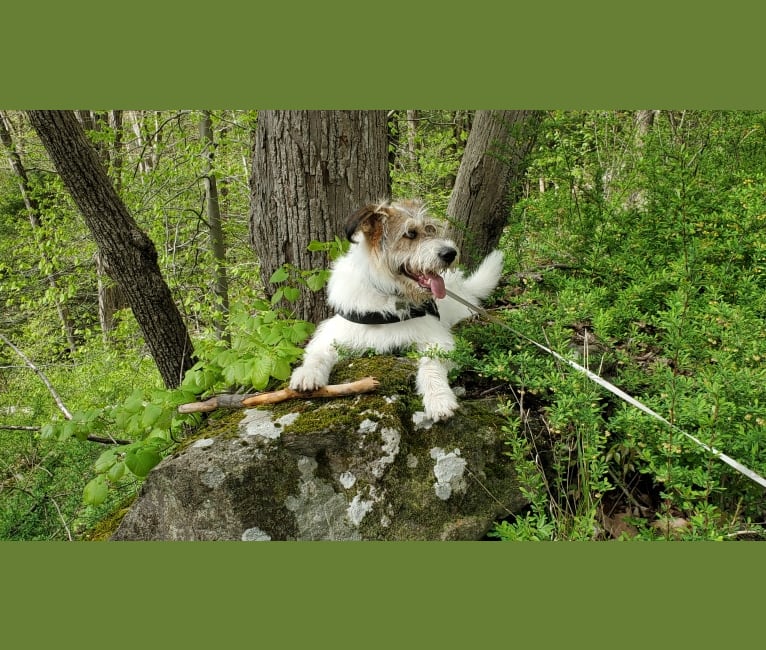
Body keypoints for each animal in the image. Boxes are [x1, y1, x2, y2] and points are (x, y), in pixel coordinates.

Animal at [288, 197, 504, 420]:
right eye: (410, 233)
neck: (388, 297)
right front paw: (307, 373)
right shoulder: (333, 332)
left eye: (431, 229)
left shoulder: (438, 340)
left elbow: (431, 363)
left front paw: (438, 398)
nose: (451, 253)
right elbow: (318, 353)